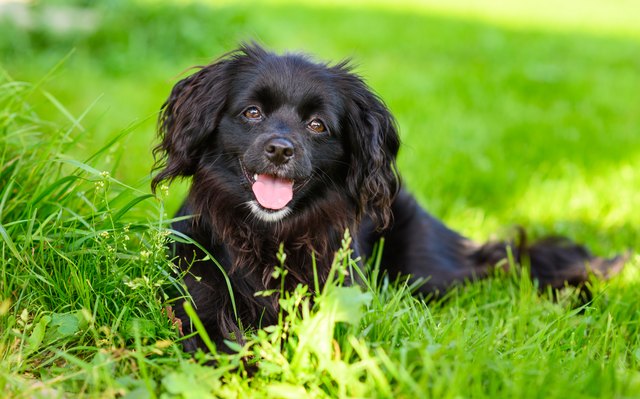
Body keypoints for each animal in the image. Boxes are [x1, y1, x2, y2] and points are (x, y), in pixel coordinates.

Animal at [151, 43, 624, 354]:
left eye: (317, 125)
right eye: (252, 113)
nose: (281, 150)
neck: (269, 236)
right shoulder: (195, 296)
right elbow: (216, 334)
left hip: (427, 274)